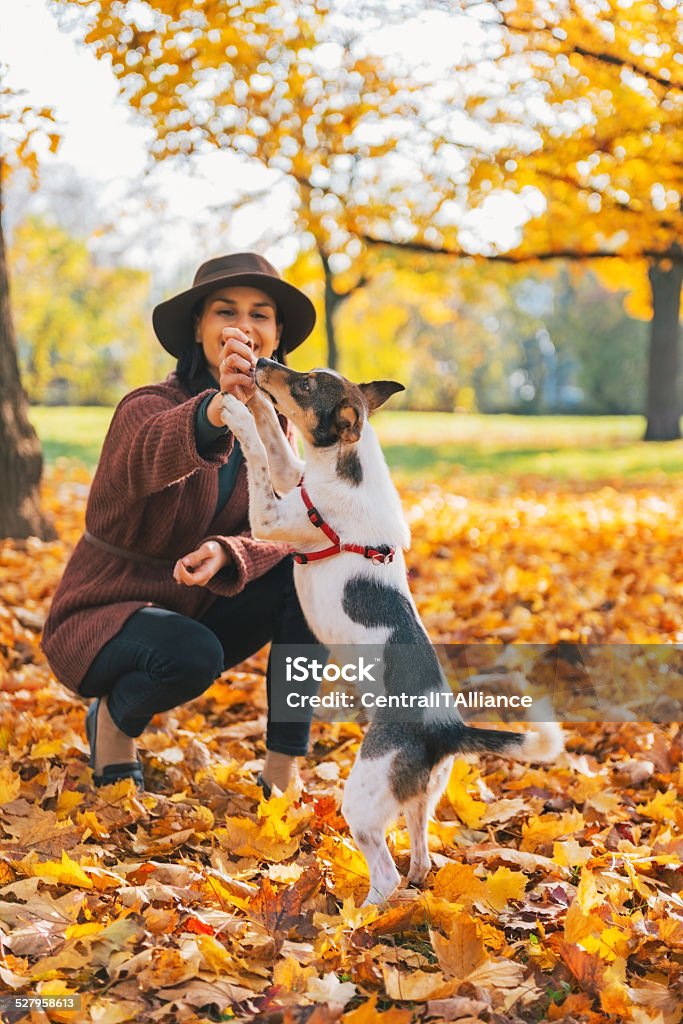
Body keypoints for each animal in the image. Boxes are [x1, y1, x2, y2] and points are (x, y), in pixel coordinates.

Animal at [222, 364, 565, 909]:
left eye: (305, 385)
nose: (262, 364)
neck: (346, 468)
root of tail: (446, 731)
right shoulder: (293, 476)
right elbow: (275, 438)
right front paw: (252, 402)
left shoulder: (273, 518)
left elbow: (258, 451)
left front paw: (236, 411)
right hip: (421, 798)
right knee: (421, 857)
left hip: (363, 799)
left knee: (385, 875)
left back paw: (353, 920)